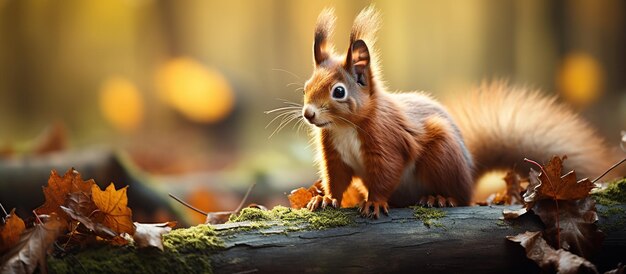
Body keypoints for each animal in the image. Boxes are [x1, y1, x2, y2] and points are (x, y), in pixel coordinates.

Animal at [300, 6, 612, 218]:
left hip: (443, 156)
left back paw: (440, 198)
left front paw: (374, 201)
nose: (308, 114)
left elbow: (386, 172)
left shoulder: (387, 141)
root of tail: (470, 176)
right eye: (306, 86)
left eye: (339, 92)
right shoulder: (334, 153)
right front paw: (326, 199)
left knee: (460, 197)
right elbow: (336, 178)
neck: (344, 126)